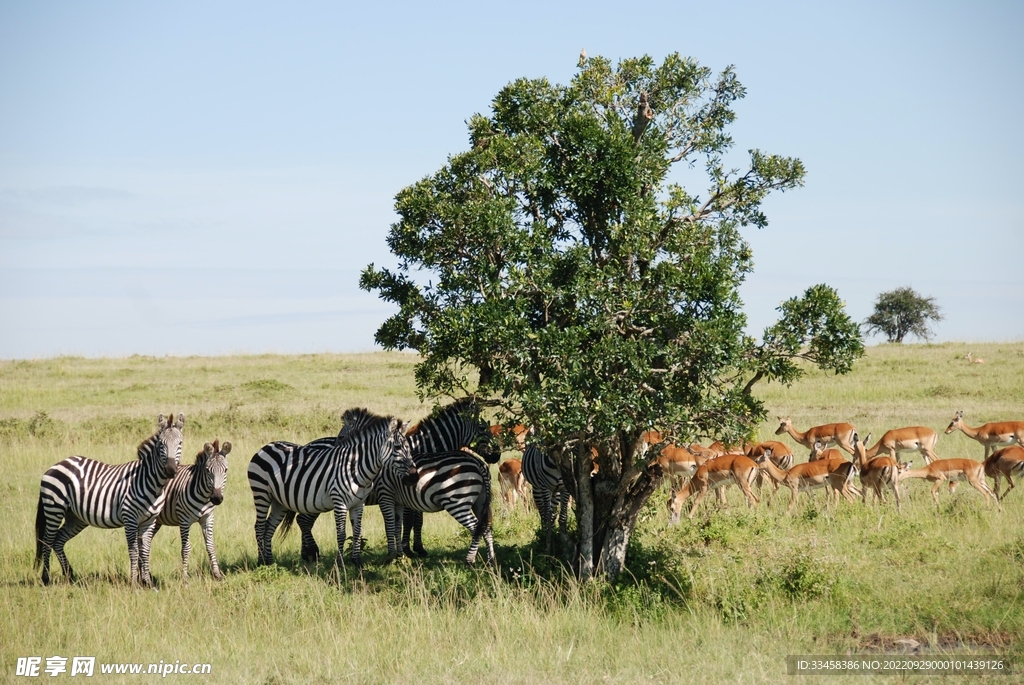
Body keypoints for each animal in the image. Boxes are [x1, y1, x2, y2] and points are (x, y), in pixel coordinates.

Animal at [34, 413, 185, 585]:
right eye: (161, 444)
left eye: (180, 443)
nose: (170, 470)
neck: (151, 482)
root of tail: (56, 465)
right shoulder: (130, 518)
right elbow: (134, 551)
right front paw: (133, 582)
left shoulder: (149, 521)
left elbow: (145, 551)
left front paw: (147, 582)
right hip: (54, 508)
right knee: (47, 541)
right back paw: (46, 578)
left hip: (75, 517)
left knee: (58, 540)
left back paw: (70, 575)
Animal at [140, 440, 232, 581]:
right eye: (207, 470)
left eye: (225, 470)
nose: (216, 498)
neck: (204, 496)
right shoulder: (184, 520)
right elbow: (185, 548)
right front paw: (184, 577)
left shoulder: (208, 518)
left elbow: (210, 546)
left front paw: (217, 574)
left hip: (156, 521)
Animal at [247, 409, 411, 569]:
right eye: (397, 447)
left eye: (408, 447)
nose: (413, 473)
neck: (356, 467)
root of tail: (267, 445)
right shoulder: (341, 501)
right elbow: (342, 534)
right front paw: (340, 564)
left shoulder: (359, 503)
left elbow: (357, 532)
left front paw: (357, 563)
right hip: (261, 492)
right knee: (260, 526)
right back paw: (262, 562)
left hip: (279, 501)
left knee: (269, 527)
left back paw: (270, 562)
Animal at [290, 395, 501, 561]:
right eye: (483, 428)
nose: (497, 455)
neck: (420, 446)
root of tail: (308, 445)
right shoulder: (403, 493)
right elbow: (407, 521)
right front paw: (408, 549)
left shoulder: (411, 492)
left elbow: (414, 521)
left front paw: (414, 549)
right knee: (303, 520)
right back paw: (311, 552)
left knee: (303, 520)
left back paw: (307, 554)